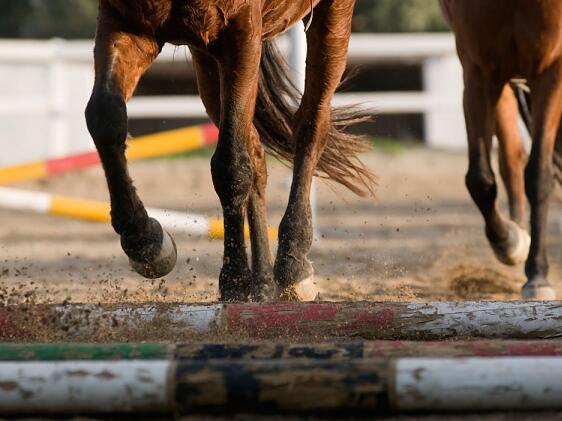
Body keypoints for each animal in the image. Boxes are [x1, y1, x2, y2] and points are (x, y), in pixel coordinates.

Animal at [84, 0, 372, 302]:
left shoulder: (240, 34)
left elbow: (231, 165)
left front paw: (235, 280)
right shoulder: (125, 24)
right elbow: (104, 117)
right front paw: (145, 242)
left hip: (333, 17)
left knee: (311, 126)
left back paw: (294, 265)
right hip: (206, 60)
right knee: (256, 154)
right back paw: (263, 283)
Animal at [440, 1, 560, 300]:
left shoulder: (552, 71)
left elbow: (539, 176)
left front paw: (538, 276)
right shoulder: (479, 72)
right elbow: (480, 180)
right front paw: (510, 242)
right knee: (510, 160)